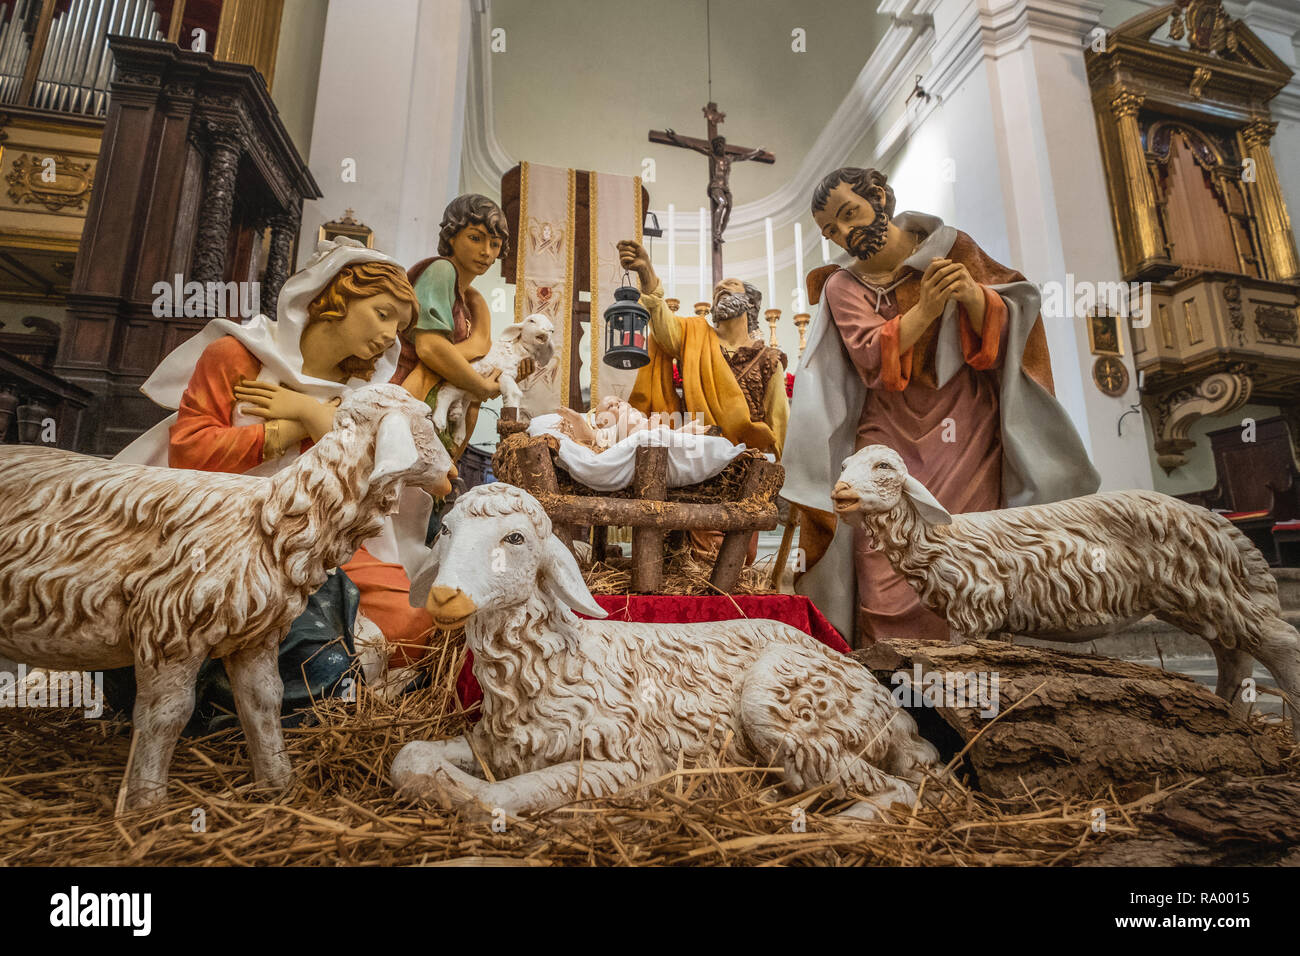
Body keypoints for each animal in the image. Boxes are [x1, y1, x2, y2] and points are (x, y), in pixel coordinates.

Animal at [0, 385, 452, 811]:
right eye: (428, 418)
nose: (452, 474)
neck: (273, 522)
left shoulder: (253, 637)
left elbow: (262, 702)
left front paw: (278, 784)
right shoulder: (170, 629)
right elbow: (164, 717)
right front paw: (147, 805)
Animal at [390, 486, 941, 822]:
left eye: (516, 537)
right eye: (445, 531)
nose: (445, 596)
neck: (558, 664)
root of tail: (889, 706)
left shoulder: (629, 762)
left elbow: (497, 797)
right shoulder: (496, 744)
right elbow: (410, 756)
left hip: (783, 704)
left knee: (900, 791)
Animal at [832, 444, 1300, 738]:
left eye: (884, 467)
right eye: (843, 466)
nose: (840, 493)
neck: (938, 536)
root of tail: (1216, 521)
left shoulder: (973, 608)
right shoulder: (995, 622)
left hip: (1208, 587)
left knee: (1280, 640)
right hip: (1201, 594)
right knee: (1234, 654)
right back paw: (1231, 714)